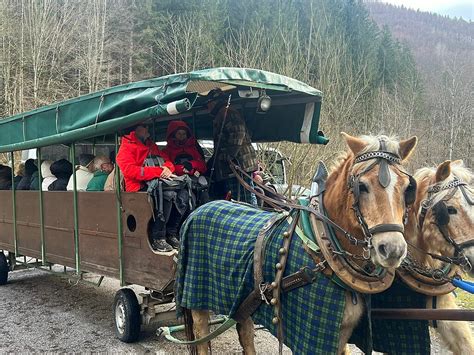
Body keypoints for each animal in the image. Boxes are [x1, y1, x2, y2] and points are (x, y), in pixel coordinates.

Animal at [176, 132, 416, 354]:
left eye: (407, 189)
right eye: (363, 186)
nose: (393, 250)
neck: (322, 250)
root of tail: (197, 211)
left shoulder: (341, 335)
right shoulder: (311, 338)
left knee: (245, 331)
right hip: (196, 295)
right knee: (202, 337)